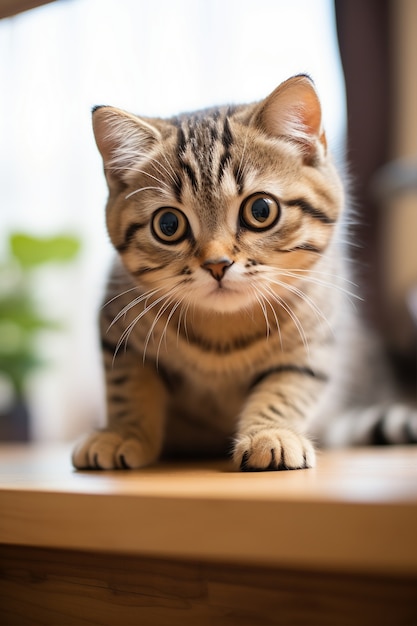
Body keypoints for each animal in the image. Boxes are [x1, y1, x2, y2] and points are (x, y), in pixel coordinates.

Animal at [72, 74, 416, 468]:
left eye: (261, 210)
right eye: (169, 224)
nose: (217, 264)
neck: (223, 334)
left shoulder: (314, 337)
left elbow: (287, 387)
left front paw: (271, 432)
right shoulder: (119, 333)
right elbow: (128, 387)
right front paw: (122, 432)